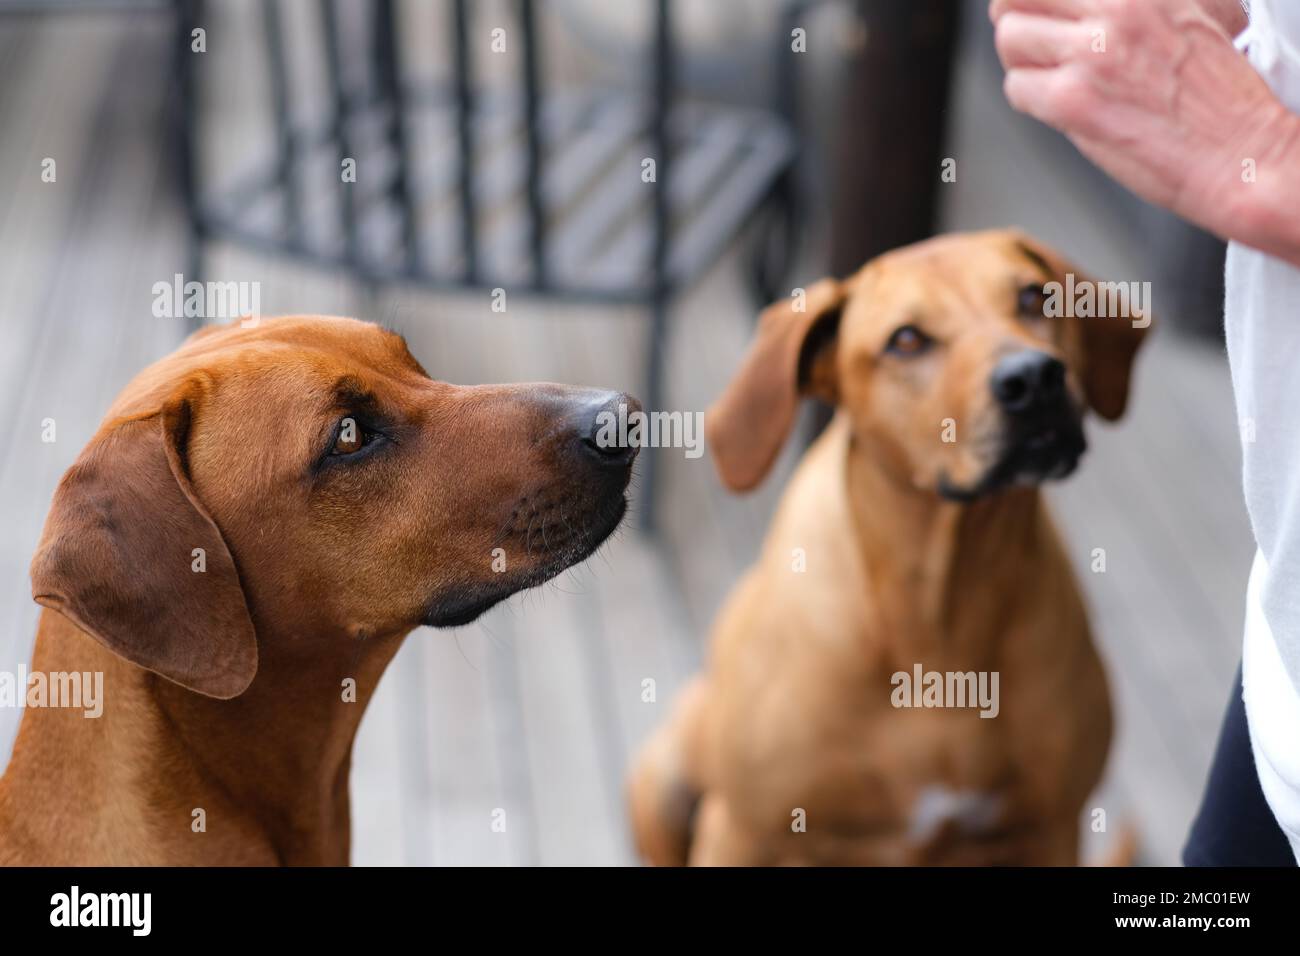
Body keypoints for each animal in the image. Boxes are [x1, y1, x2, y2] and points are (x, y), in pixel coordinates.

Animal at [629, 230, 1149, 868]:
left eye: (1036, 298)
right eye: (907, 340)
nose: (1034, 378)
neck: (942, 618)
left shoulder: (1053, 829)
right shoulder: (741, 829)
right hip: (661, 776)